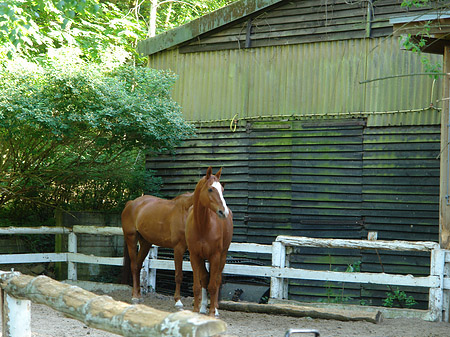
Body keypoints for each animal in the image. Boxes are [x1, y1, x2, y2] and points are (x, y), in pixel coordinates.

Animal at [185, 167, 234, 316]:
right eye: (210, 189)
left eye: (222, 190)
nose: (224, 212)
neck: (202, 225)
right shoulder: (194, 256)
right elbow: (198, 285)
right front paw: (196, 310)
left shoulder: (215, 256)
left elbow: (213, 285)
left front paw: (212, 312)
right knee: (205, 278)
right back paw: (202, 308)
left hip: (222, 256)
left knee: (217, 279)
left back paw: (215, 308)